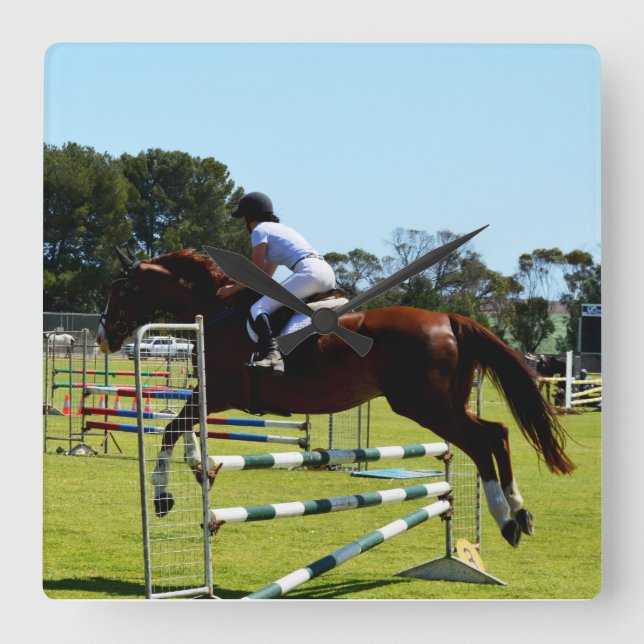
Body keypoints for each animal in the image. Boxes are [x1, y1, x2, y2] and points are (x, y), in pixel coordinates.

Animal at [96, 249, 575, 548]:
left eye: (119, 290)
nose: (103, 337)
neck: (213, 308)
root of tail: (449, 318)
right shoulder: (211, 393)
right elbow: (182, 427)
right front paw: (198, 468)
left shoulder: (221, 393)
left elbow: (171, 427)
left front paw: (162, 497)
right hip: (446, 404)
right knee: (498, 433)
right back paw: (519, 513)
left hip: (425, 406)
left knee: (481, 441)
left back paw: (505, 518)